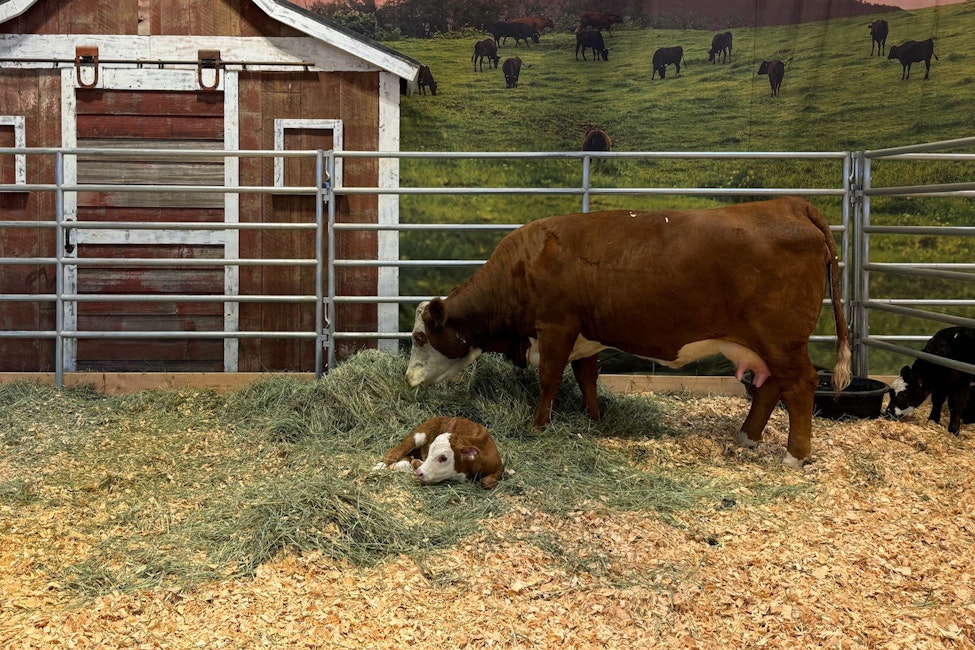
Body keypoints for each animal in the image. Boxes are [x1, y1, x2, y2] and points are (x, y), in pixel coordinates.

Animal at [374, 416, 504, 489]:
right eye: (430, 451)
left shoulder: (499, 466)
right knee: (396, 451)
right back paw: (379, 467)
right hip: (418, 434)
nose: (419, 473)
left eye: (443, 458)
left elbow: (486, 482)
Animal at [405, 197, 853, 468]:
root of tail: (787, 203)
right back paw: (746, 436)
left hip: (782, 339)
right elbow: (587, 376)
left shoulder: (556, 327)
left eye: (419, 338)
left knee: (801, 384)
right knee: (771, 386)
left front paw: (537, 425)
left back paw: (795, 455)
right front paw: (595, 417)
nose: (408, 378)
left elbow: (549, 379)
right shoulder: (584, 334)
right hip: (765, 344)